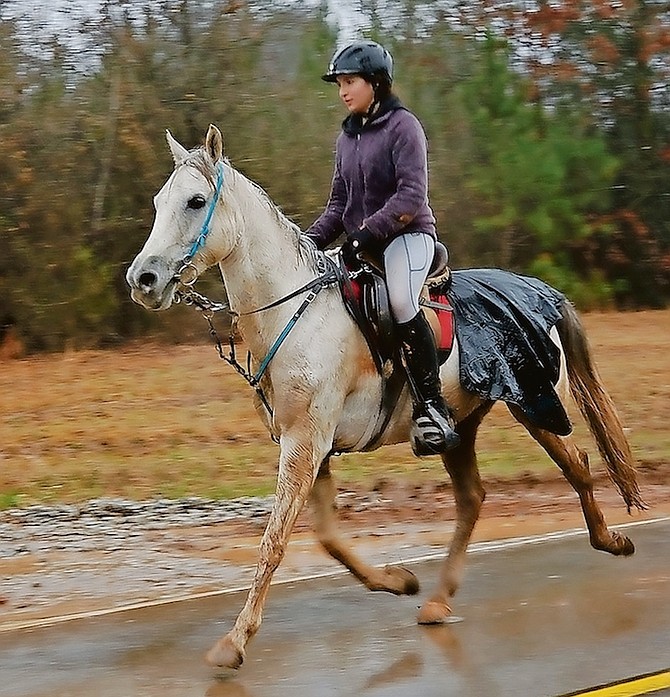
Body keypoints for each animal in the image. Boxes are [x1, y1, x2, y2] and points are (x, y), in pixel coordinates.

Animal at [124, 123, 644, 668]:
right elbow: (328, 538)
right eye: (159, 201)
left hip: (535, 406)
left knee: (578, 465)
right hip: (462, 425)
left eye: (196, 201)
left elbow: (275, 540)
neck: (295, 315)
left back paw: (611, 541)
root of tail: (537, 290)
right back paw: (437, 600)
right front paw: (397, 581)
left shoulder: (305, 444)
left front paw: (235, 640)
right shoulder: (310, 445)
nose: (143, 279)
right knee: (473, 498)